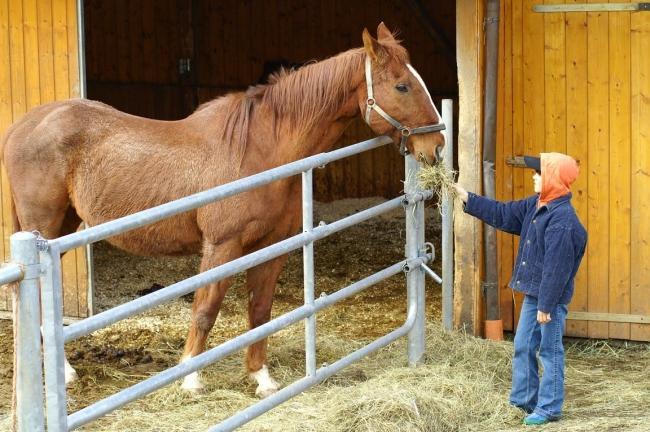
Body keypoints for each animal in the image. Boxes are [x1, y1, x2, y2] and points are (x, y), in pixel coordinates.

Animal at [0, 22, 442, 396]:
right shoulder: (222, 245)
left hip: (64, 227)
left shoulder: (273, 246)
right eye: (402, 86)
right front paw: (190, 379)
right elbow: (205, 309)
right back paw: (61, 374)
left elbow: (260, 311)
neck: (258, 150)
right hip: (44, 228)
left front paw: (261, 378)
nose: (435, 147)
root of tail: (24, 125)